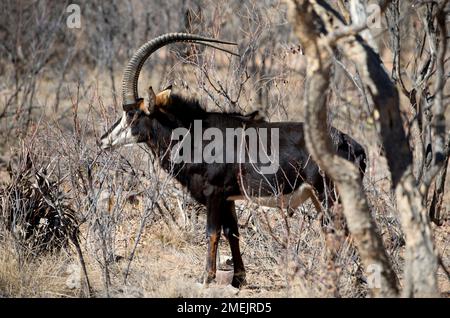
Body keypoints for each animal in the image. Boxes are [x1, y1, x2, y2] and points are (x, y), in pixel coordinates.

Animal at [99, 32, 366, 288]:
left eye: (132, 114)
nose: (102, 140)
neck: (193, 133)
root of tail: (352, 144)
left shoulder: (214, 193)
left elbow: (212, 232)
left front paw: (206, 278)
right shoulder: (228, 197)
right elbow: (232, 232)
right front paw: (238, 279)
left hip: (330, 194)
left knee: (349, 230)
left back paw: (355, 280)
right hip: (319, 197)